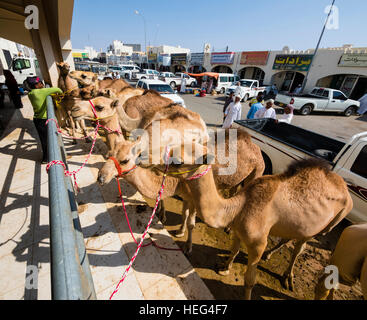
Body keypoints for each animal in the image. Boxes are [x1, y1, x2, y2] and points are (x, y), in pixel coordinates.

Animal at [98, 129, 264, 254]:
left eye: (125, 160)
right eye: (109, 154)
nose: (101, 177)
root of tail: (255, 147)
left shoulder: (195, 199)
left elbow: (191, 222)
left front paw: (188, 246)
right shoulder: (185, 195)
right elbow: (184, 214)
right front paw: (180, 231)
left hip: (258, 170)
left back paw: (230, 229)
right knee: (234, 189)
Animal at [139, 148, 352, 300]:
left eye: (177, 160)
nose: (142, 156)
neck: (238, 208)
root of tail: (346, 191)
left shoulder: (257, 243)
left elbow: (249, 280)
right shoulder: (238, 229)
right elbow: (234, 250)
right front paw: (224, 267)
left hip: (329, 223)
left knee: (300, 247)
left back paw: (288, 278)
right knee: (291, 237)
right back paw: (270, 256)